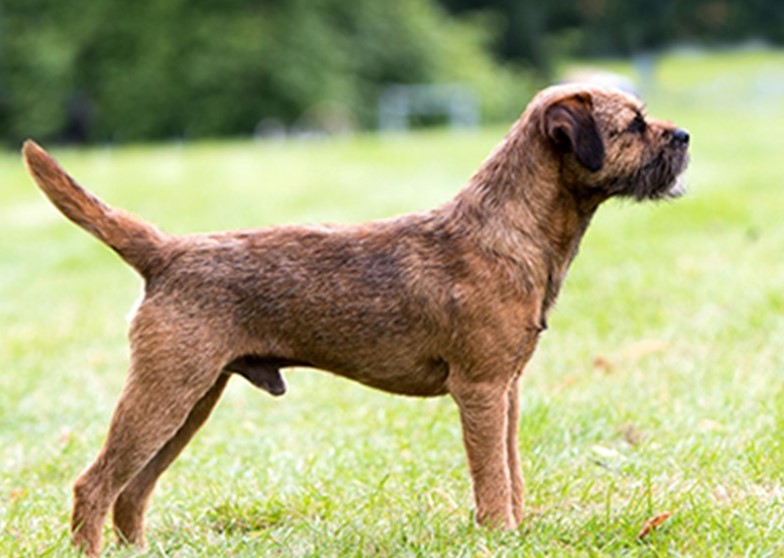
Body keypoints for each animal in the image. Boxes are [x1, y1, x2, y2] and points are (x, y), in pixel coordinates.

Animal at [23, 83, 688, 556]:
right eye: (633, 125)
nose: (683, 135)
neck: (507, 230)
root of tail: (166, 251)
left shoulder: (508, 391)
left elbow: (512, 470)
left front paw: (518, 533)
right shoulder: (479, 390)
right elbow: (492, 477)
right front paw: (499, 536)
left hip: (192, 398)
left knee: (132, 490)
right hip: (165, 390)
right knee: (95, 485)